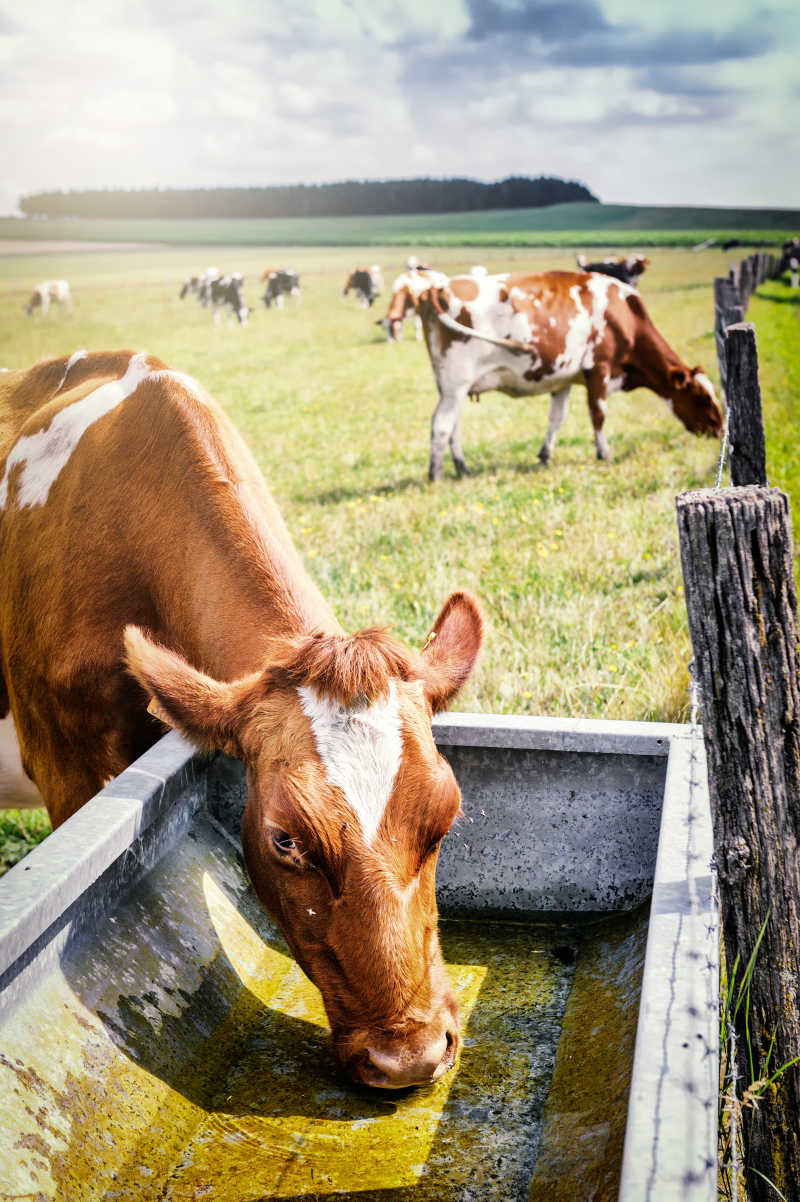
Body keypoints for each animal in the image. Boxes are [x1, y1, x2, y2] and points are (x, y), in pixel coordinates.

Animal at [386, 270, 720, 480]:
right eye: (702, 397)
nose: (719, 428)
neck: (623, 315)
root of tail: (437, 287)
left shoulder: (564, 379)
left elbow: (556, 419)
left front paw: (545, 455)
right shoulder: (598, 369)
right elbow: (598, 414)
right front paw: (604, 453)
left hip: (451, 387)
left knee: (452, 426)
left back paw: (462, 468)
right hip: (456, 383)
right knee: (441, 425)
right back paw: (436, 474)